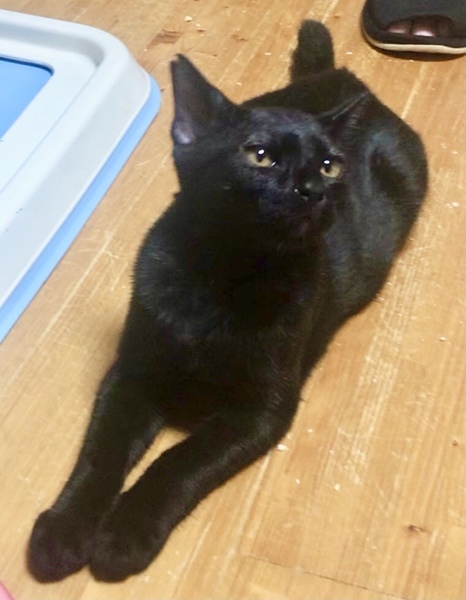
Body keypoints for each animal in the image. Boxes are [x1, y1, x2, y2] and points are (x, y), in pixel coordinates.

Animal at [27, 20, 427, 583]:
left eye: (330, 166)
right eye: (259, 155)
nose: (313, 189)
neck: (222, 280)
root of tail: (338, 77)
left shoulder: (262, 408)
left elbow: (180, 461)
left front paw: (124, 534)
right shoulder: (131, 373)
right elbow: (100, 451)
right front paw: (64, 529)